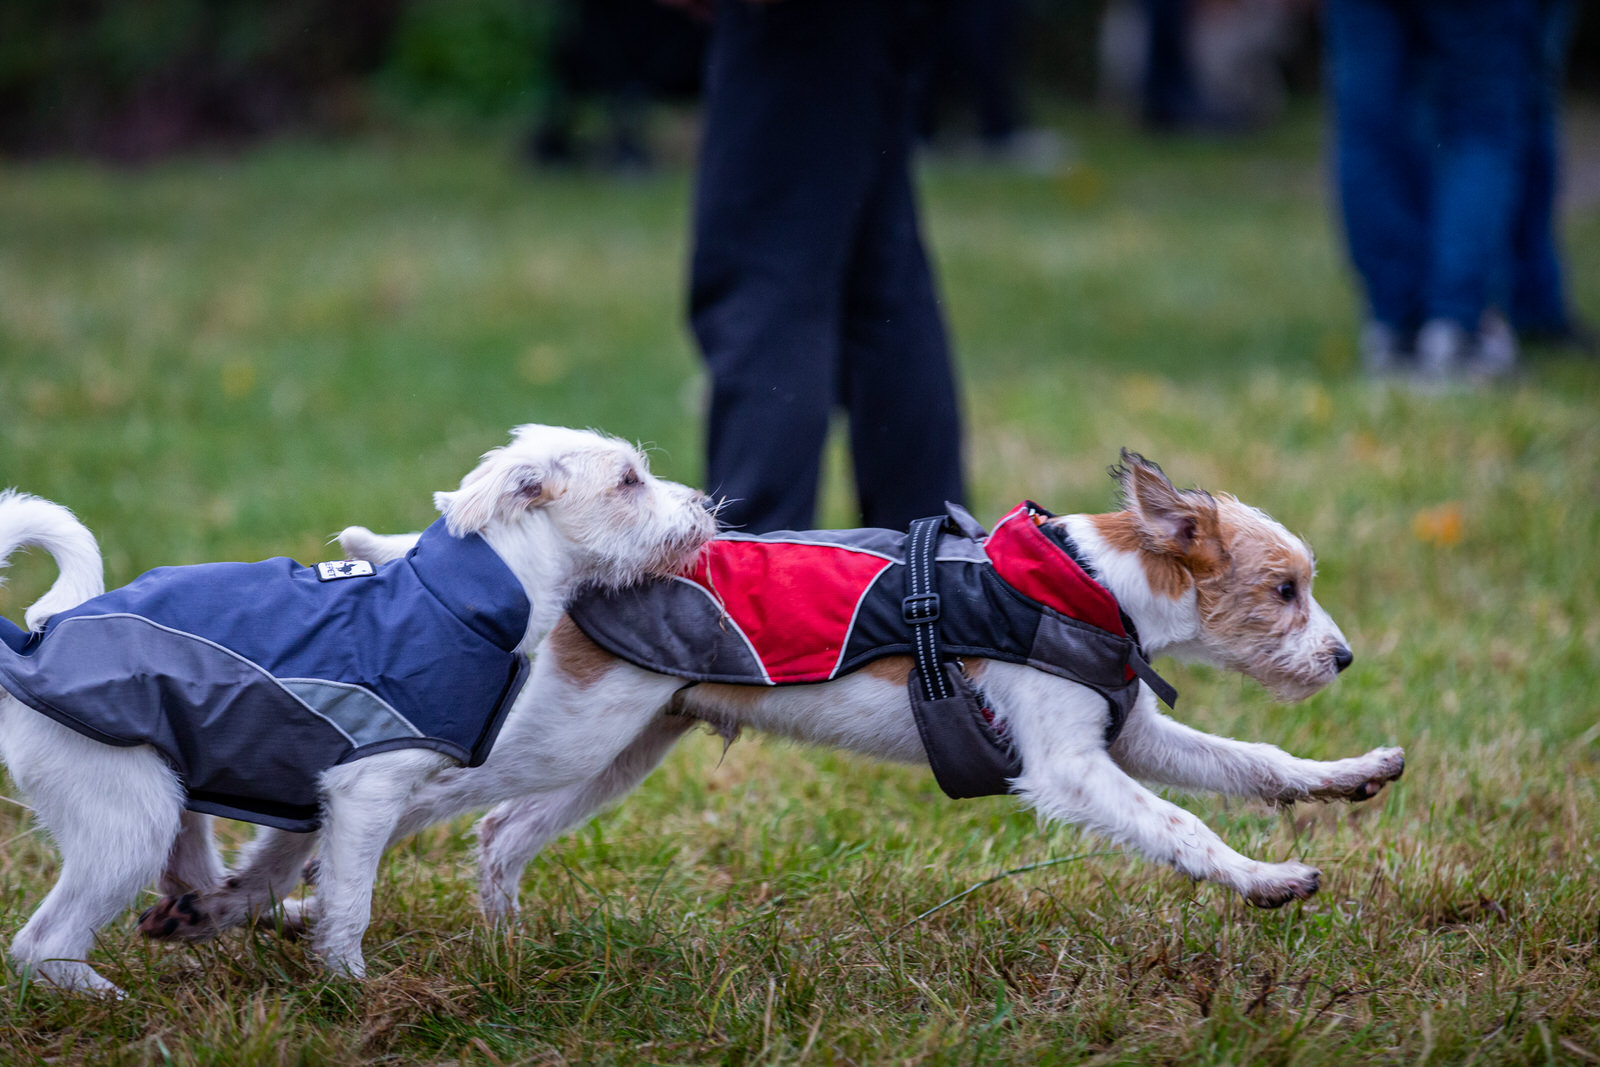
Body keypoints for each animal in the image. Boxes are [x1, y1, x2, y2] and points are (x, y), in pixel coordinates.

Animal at [0, 422, 713, 991]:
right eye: (629, 480)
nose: (707, 504)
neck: (458, 596)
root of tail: (33, 642)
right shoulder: (365, 791)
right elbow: (350, 901)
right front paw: (349, 988)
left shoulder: (316, 793)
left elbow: (284, 872)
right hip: (129, 818)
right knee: (41, 945)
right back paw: (107, 999)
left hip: (178, 804)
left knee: (195, 882)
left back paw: (223, 921)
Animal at [144, 454, 1408, 953]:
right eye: (1284, 589)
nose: (1344, 656)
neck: (1078, 584)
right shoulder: (1072, 764)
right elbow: (1184, 824)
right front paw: (1264, 881)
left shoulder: (1130, 731)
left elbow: (1250, 762)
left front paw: (1346, 779)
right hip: (547, 737)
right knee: (367, 804)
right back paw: (255, 902)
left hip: (617, 748)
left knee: (495, 835)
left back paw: (498, 945)